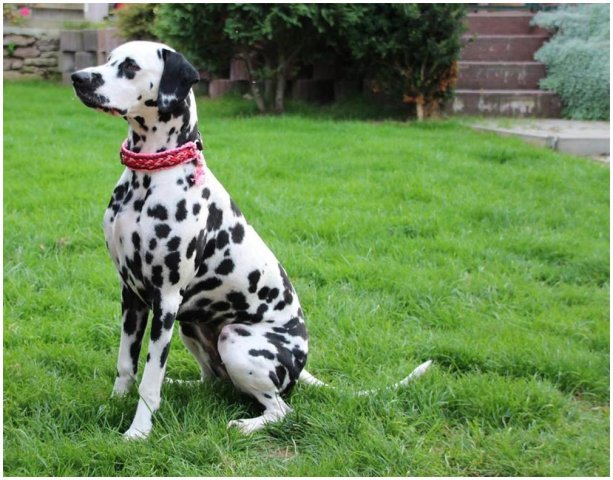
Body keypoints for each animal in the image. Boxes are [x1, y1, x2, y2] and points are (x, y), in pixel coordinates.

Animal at [72, 41, 431, 439]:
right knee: (212, 381)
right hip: (191, 325)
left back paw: (244, 425)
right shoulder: (131, 294)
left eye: (131, 67)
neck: (148, 180)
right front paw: (114, 405)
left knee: (281, 409)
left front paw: (138, 432)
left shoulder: (164, 300)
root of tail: (301, 363)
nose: (78, 77)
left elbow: (150, 379)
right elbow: (126, 363)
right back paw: (183, 386)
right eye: (108, 59)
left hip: (235, 340)